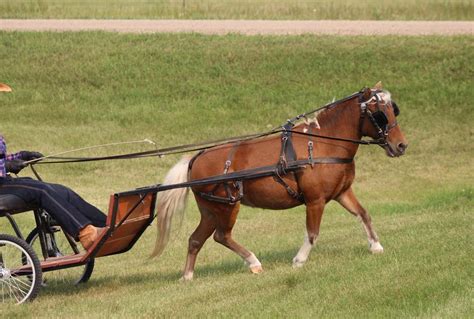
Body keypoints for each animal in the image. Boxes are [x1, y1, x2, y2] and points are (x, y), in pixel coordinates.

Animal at [152, 84, 408, 280]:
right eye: (380, 114)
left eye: (394, 110)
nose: (401, 145)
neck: (323, 143)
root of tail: (196, 158)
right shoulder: (315, 200)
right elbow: (312, 233)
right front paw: (299, 260)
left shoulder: (341, 192)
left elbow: (363, 214)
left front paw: (376, 246)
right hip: (226, 206)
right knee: (221, 236)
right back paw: (253, 261)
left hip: (210, 210)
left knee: (196, 239)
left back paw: (187, 276)